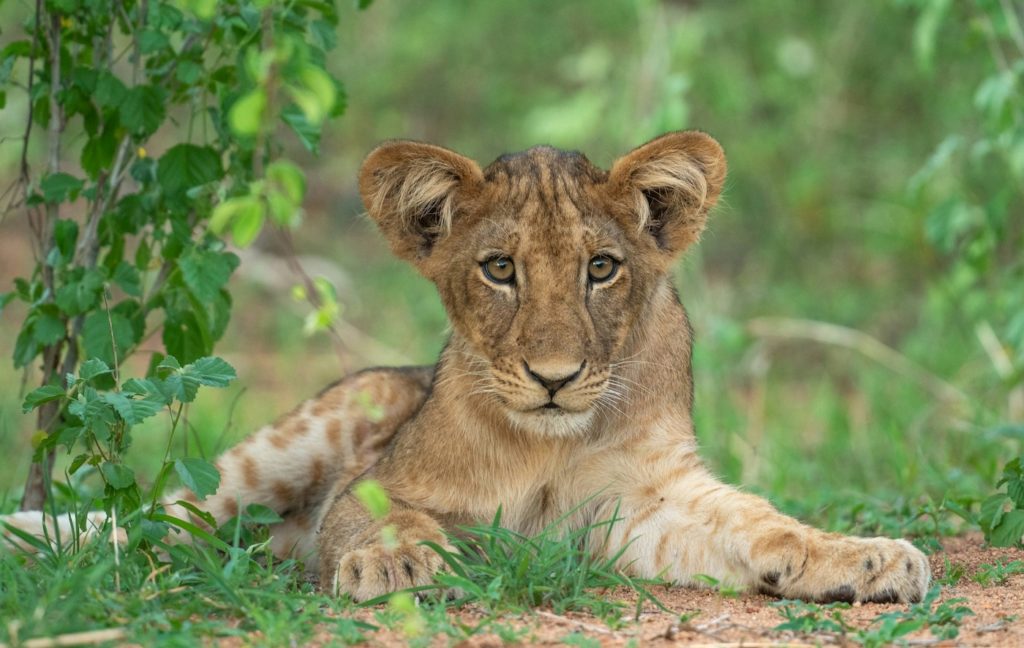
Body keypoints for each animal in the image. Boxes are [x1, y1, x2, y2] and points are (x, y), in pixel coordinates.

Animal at [3, 131, 930, 605]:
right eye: (500, 269)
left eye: (601, 268)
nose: (555, 377)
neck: (551, 441)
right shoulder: (380, 479)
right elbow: (377, 514)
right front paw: (394, 563)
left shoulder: (644, 505)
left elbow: (763, 523)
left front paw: (869, 559)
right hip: (324, 421)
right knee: (162, 520)